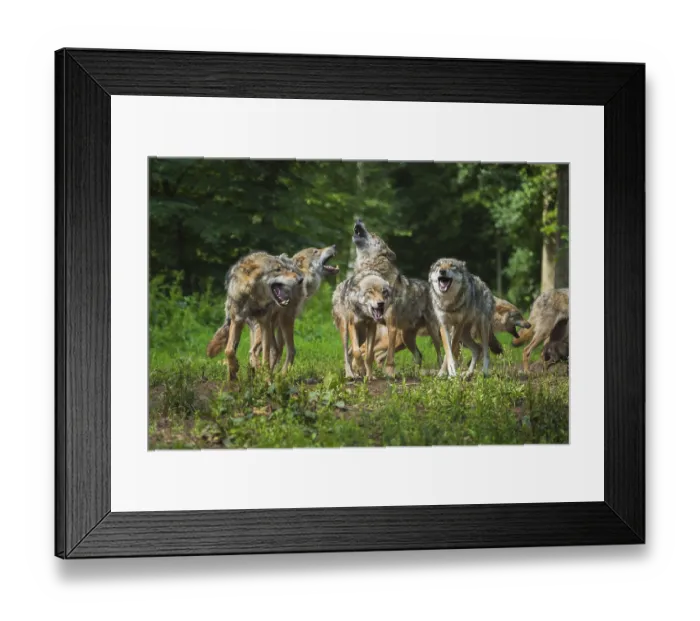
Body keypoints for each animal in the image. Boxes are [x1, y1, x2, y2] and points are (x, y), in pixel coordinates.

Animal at [205, 252, 304, 381]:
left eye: (285, 269)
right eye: (277, 270)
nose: (300, 279)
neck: (252, 299)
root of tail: (290, 260)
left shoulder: (264, 323)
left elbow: (264, 357)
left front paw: (265, 378)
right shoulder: (237, 321)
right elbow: (229, 350)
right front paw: (234, 369)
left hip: (283, 321)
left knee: (289, 350)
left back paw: (280, 376)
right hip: (261, 327)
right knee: (273, 350)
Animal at [247, 245, 339, 373]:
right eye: (316, 251)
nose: (334, 246)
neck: (303, 276)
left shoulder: (278, 322)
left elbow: (277, 350)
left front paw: (274, 372)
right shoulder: (286, 317)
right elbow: (290, 350)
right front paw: (283, 373)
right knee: (253, 350)